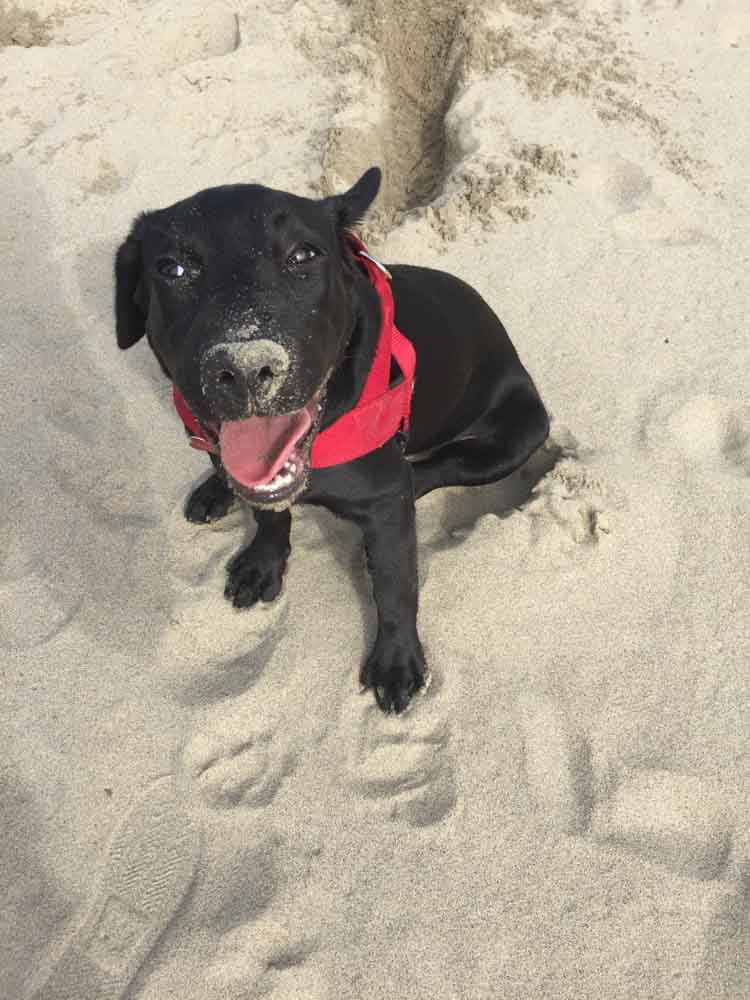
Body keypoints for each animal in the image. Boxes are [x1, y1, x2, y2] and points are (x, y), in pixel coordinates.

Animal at [116, 172, 552, 716]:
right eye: (171, 268)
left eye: (304, 255)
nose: (244, 368)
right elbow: (269, 513)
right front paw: (262, 562)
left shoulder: (386, 505)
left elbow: (395, 583)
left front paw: (396, 660)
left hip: (522, 430)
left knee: (436, 468)